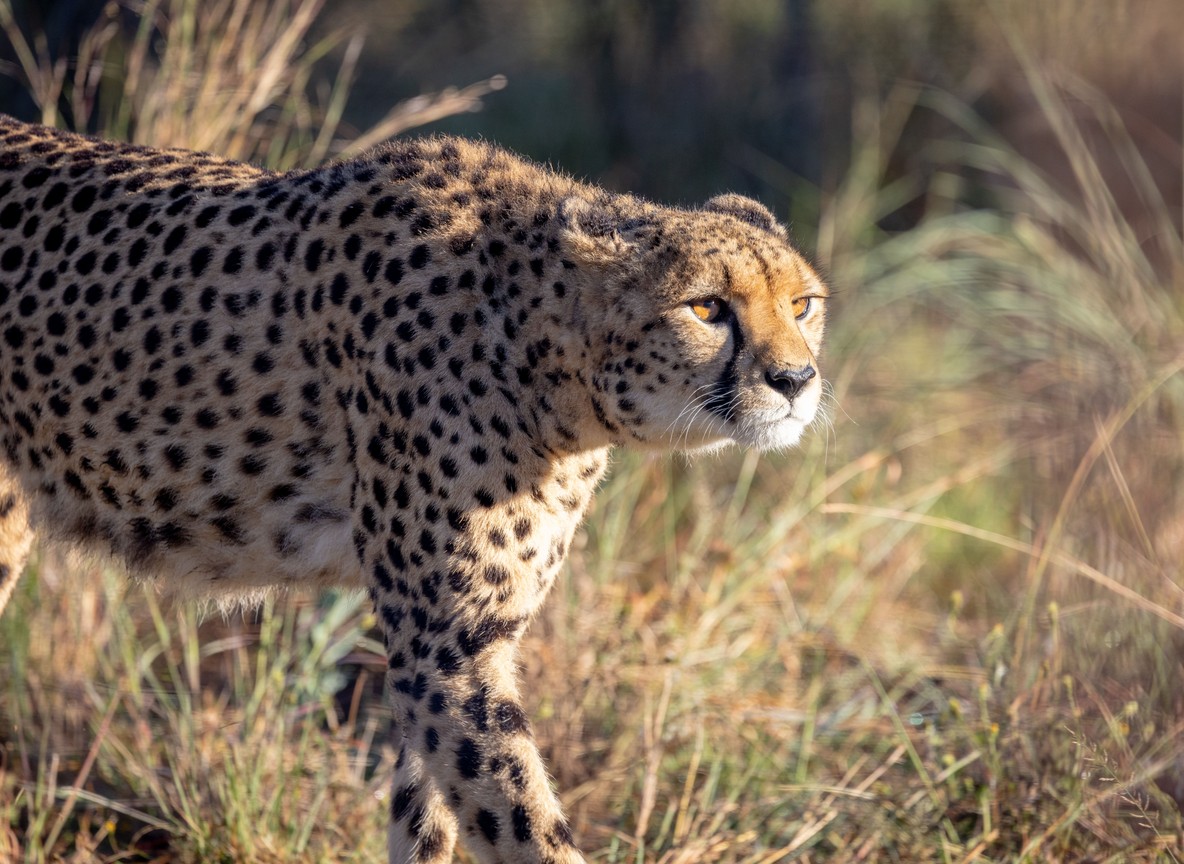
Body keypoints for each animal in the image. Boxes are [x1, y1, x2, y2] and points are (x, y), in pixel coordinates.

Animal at [0, 113, 829, 864]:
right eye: (707, 307)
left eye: (802, 304)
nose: (795, 380)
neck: (544, 359)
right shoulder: (444, 644)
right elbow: (524, 824)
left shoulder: (461, 643)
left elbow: (431, 810)